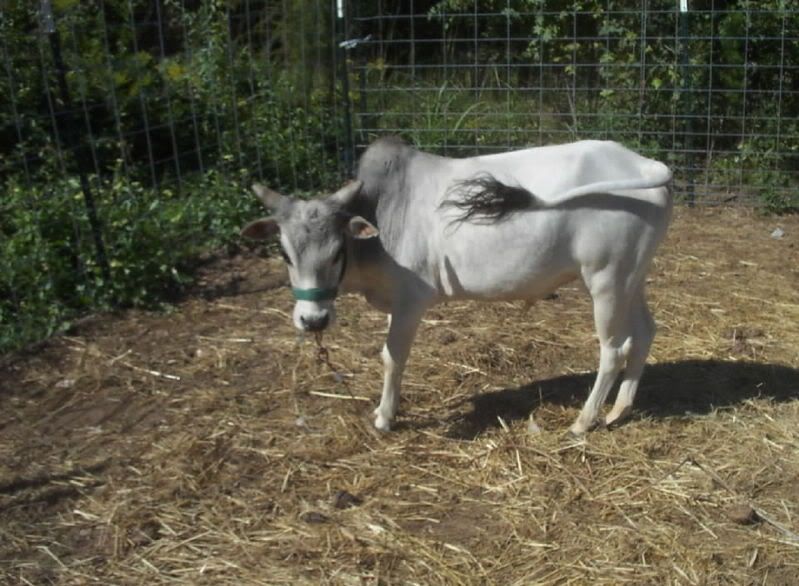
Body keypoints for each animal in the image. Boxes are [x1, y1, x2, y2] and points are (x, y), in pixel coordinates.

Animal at [241, 137, 673, 435]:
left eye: (335, 252)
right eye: (284, 254)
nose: (312, 320)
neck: (380, 215)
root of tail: (644, 164)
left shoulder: (411, 302)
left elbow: (392, 358)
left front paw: (385, 418)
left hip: (606, 282)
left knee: (613, 351)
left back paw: (584, 421)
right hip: (630, 279)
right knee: (645, 333)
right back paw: (619, 410)